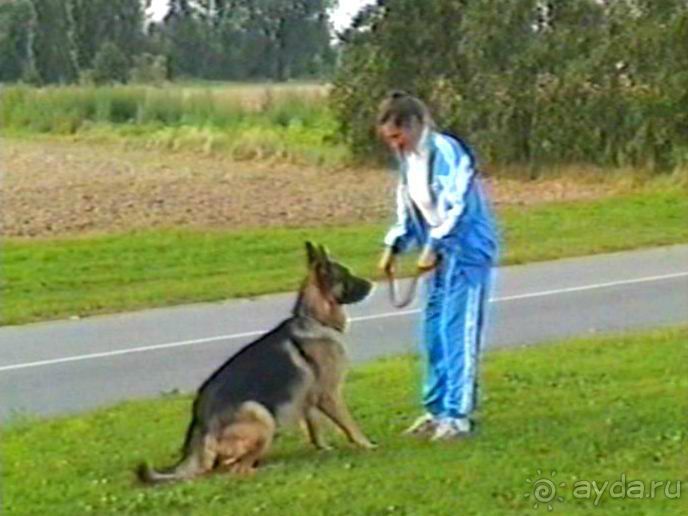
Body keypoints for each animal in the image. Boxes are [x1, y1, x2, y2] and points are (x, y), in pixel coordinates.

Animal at [138, 242, 376, 484]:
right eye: (346, 275)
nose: (373, 283)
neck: (314, 319)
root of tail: (200, 428)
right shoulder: (329, 395)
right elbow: (349, 424)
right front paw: (366, 445)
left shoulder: (309, 398)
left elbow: (315, 428)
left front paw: (323, 449)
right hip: (261, 414)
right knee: (237, 469)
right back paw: (269, 468)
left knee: (226, 466)